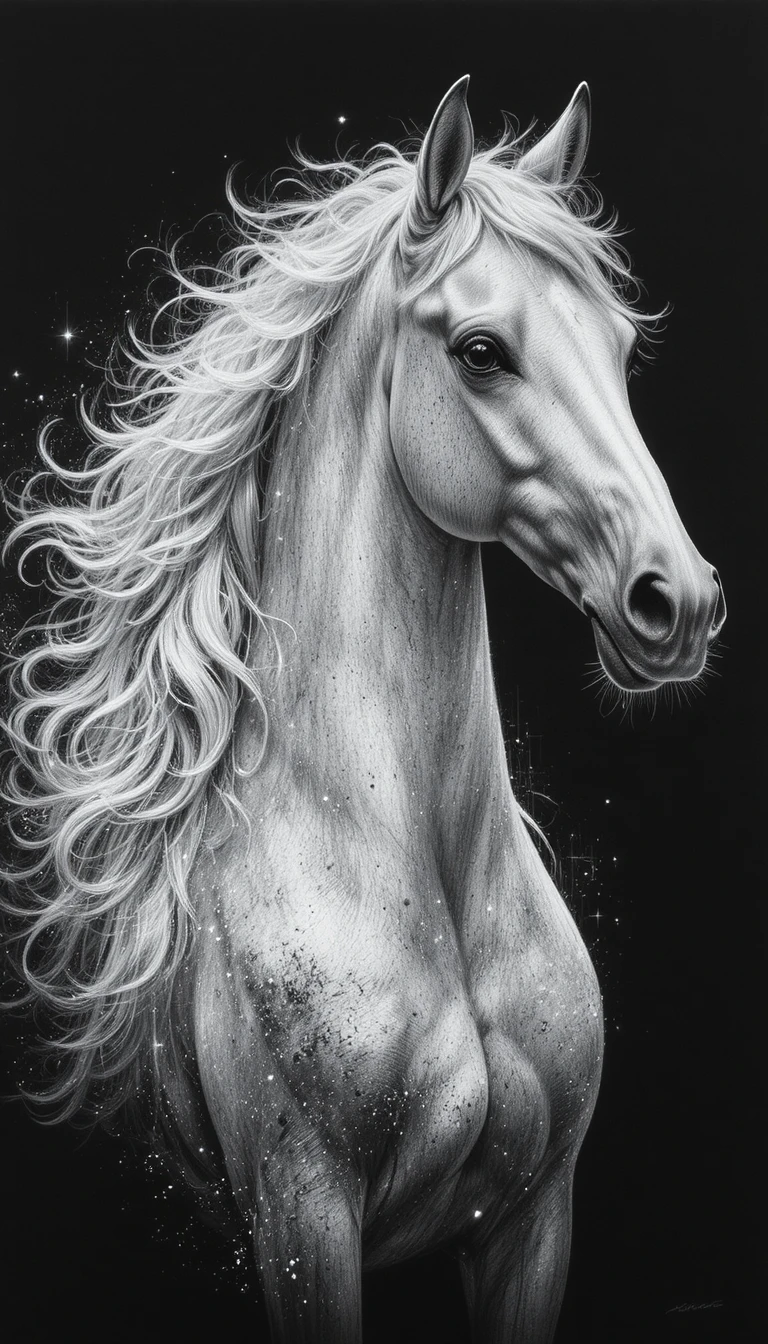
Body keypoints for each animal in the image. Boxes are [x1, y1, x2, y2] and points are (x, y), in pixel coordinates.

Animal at [3, 77, 725, 1342]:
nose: (674, 601)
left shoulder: (536, 1221)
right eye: (482, 351)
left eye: (620, 345)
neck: (412, 872)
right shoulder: (303, 1225)